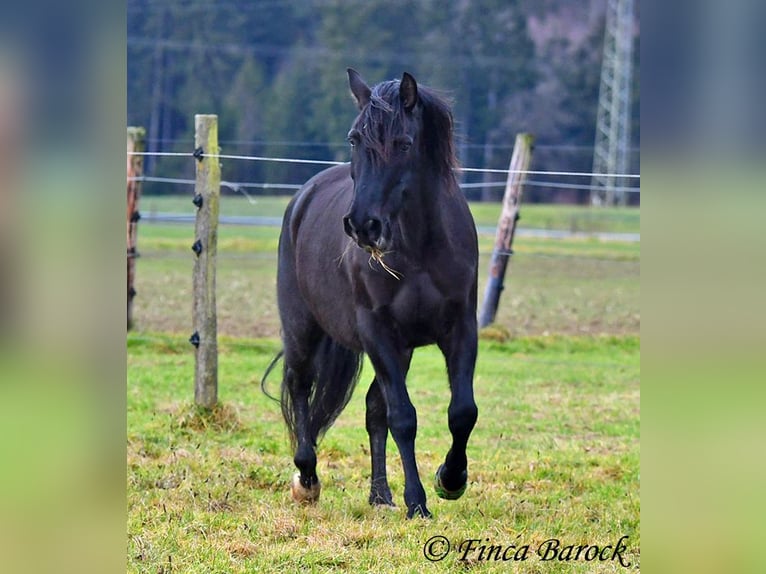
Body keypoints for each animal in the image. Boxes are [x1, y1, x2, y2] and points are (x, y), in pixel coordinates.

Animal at [276, 68, 480, 520]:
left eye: (403, 143)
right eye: (354, 139)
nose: (363, 225)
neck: (421, 247)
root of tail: (303, 198)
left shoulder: (459, 329)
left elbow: (461, 412)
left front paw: (450, 479)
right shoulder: (378, 331)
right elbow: (403, 417)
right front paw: (417, 502)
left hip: (399, 351)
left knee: (372, 407)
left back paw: (380, 495)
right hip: (302, 329)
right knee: (300, 387)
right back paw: (307, 478)